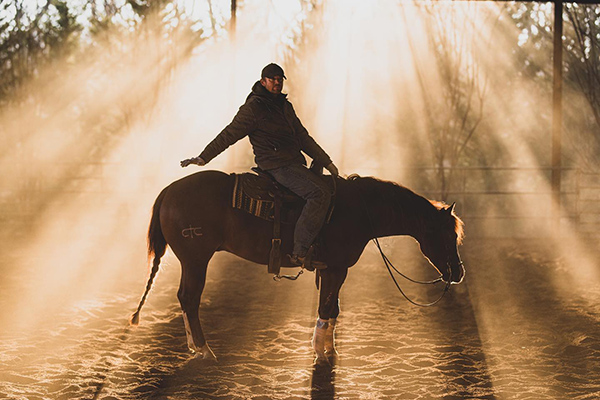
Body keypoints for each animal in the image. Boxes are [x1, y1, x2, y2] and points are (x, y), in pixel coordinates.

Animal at [131, 170, 466, 360]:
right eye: (448, 235)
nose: (458, 272)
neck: (359, 211)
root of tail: (168, 190)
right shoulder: (335, 268)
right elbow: (326, 308)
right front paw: (321, 353)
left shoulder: (333, 270)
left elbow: (333, 309)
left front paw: (329, 349)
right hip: (195, 258)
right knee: (190, 298)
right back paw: (204, 350)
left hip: (191, 260)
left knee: (184, 298)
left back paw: (194, 346)